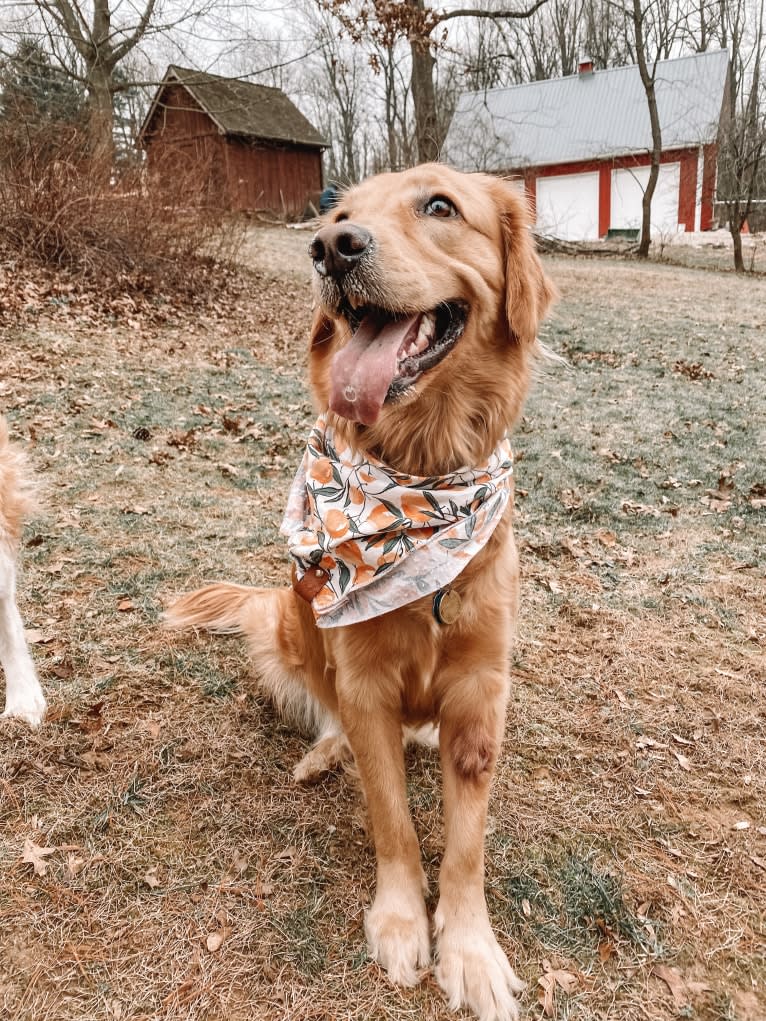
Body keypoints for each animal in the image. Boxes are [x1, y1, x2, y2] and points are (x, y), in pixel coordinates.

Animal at [166, 167, 551, 1021]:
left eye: (439, 205)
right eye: (339, 212)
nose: (331, 248)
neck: (420, 475)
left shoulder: (481, 691)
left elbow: (465, 844)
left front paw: (470, 950)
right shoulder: (367, 682)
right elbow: (392, 818)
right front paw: (402, 922)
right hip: (289, 628)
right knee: (331, 713)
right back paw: (322, 752)